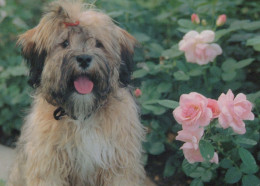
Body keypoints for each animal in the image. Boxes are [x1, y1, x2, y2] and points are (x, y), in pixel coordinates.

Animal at [8, 0, 145, 185]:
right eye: (65, 43)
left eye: (98, 43)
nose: (84, 58)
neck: (82, 114)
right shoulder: (48, 164)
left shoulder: (119, 163)